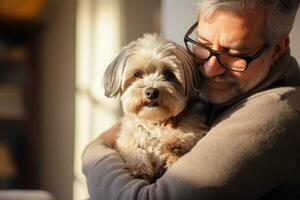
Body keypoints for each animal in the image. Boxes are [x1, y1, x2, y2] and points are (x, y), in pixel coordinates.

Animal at [103, 33, 209, 182]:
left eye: (168, 74)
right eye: (138, 74)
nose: (151, 92)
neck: (155, 123)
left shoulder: (194, 127)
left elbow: (188, 137)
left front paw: (175, 146)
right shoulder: (124, 141)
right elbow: (132, 150)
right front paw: (139, 167)